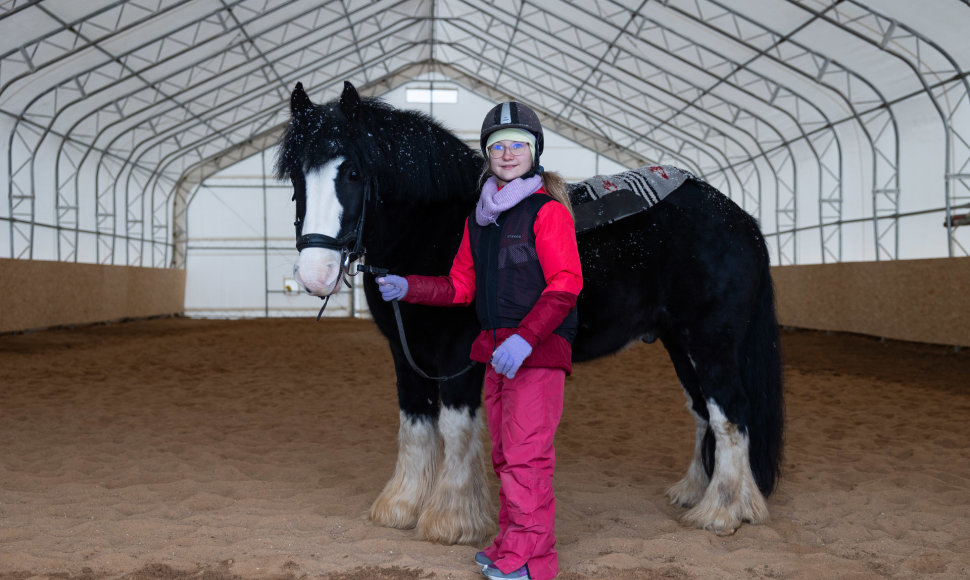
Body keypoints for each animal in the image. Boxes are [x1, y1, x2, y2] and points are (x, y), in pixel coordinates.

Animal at [270, 81, 780, 544]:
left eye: (354, 172)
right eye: (297, 176)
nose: (315, 273)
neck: (436, 228)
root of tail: (740, 219)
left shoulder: (457, 358)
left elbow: (454, 428)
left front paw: (451, 520)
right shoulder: (405, 353)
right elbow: (414, 425)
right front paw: (401, 506)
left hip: (711, 342)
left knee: (729, 412)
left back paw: (721, 512)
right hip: (680, 343)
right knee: (703, 411)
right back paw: (702, 494)